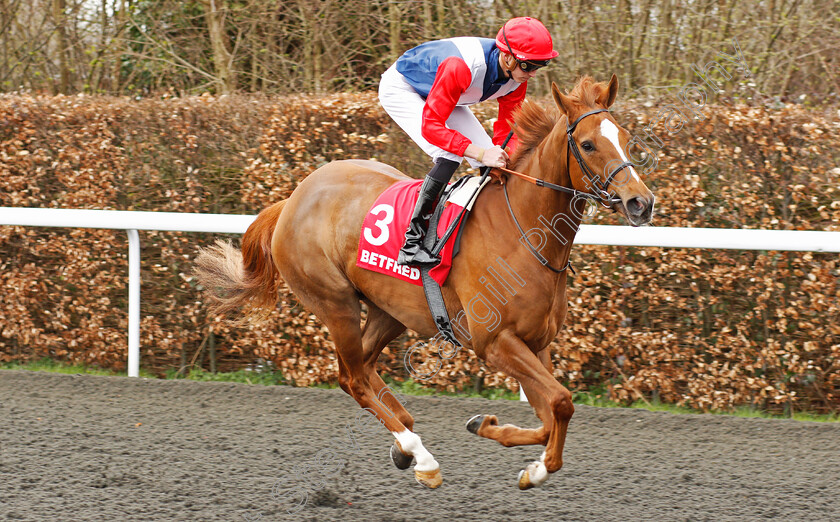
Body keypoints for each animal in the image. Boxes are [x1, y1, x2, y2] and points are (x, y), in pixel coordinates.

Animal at [195, 75, 656, 490]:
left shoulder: (537, 343)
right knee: (353, 377)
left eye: (625, 137)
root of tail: (291, 199)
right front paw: (537, 468)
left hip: (388, 310)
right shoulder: (495, 341)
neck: (522, 231)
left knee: (359, 369)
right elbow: (561, 402)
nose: (641, 202)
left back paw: (404, 442)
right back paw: (420, 455)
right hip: (335, 302)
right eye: (588, 145)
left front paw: (492, 431)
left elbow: (550, 414)